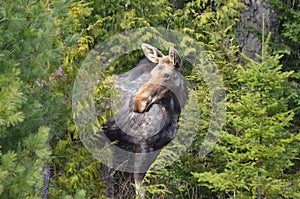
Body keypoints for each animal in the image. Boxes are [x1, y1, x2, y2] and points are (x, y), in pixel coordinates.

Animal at [101, 42, 188, 198]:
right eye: (152, 73)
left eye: (167, 75)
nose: (138, 104)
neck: (173, 113)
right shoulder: (142, 145)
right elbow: (140, 188)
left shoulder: (158, 147)